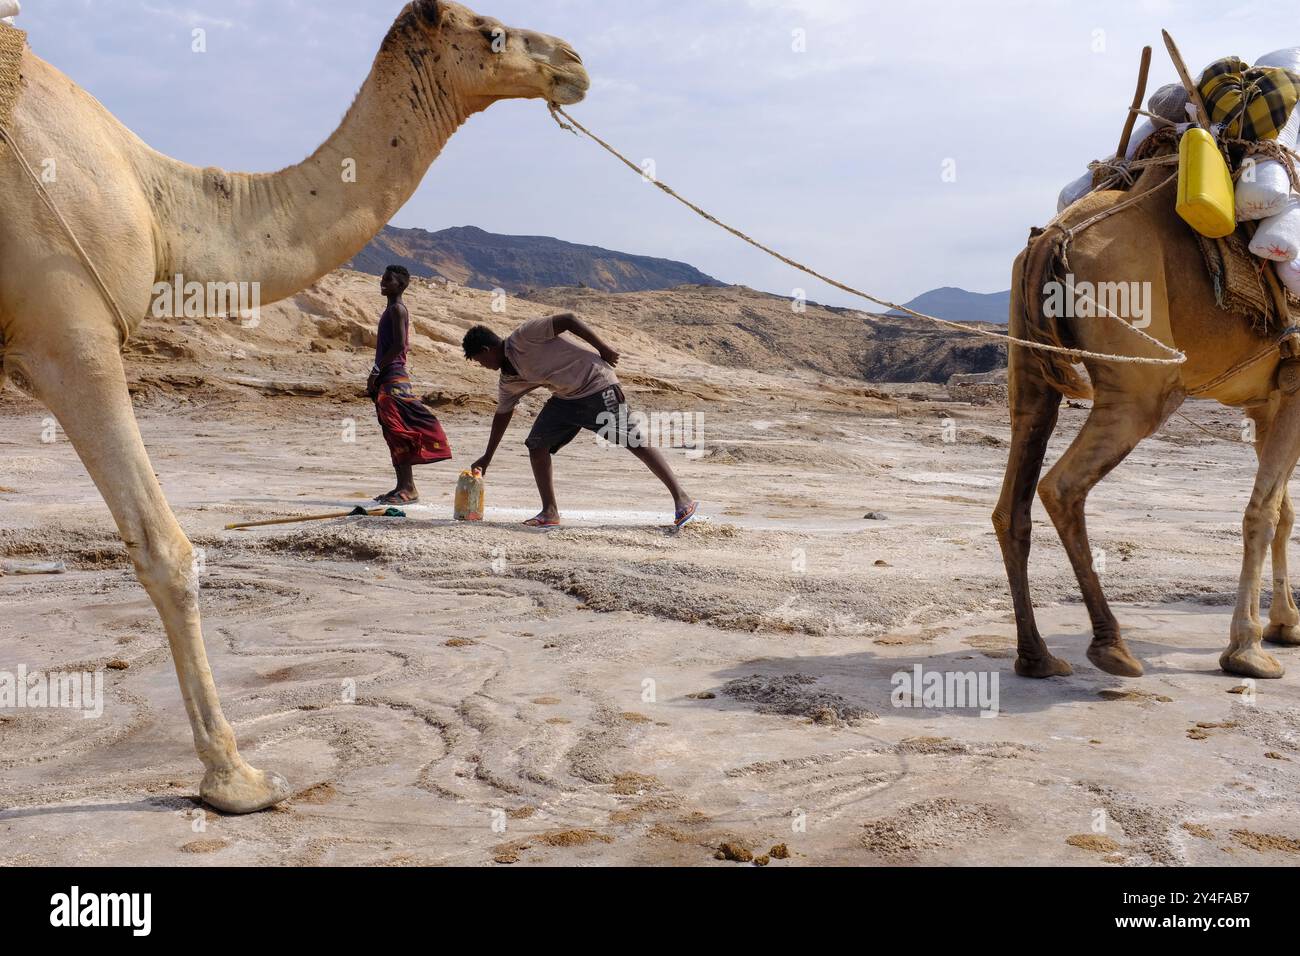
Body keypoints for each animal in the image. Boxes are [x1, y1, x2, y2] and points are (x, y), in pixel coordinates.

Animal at [0, 1, 590, 816]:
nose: (574, 62)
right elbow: (165, 549)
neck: (155, 199)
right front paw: (235, 780)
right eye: (492, 33)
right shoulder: (69, 332)